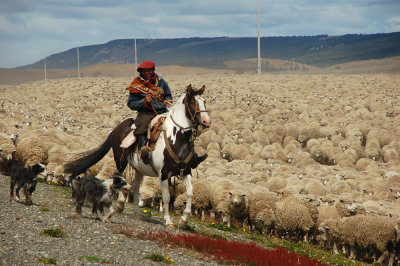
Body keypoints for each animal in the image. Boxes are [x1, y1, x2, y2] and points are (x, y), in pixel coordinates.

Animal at [64, 84, 211, 227]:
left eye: (204, 101)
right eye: (193, 102)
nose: (207, 122)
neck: (177, 138)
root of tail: (118, 127)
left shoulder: (186, 171)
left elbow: (190, 192)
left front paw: (184, 220)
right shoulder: (163, 173)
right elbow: (166, 197)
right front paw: (168, 221)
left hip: (139, 169)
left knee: (135, 188)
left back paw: (138, 213)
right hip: (120, 161)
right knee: (118, 177)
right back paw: (120, 204)